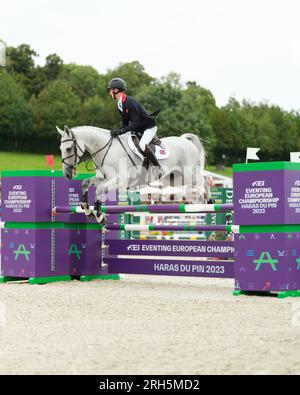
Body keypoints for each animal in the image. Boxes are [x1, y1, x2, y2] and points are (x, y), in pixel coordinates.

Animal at [56, 125, 211, 221]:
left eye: (69, 148)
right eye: (61, 148)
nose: (67, 174)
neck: (105, 149)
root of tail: (185, 140)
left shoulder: (120, 180)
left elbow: (99, 189)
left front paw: (100, 215)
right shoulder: (103, 178)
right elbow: (85, 183)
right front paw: (88, 210)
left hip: (189, 174)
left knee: (204, 180)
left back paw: (207, 201)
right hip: (175, 178)